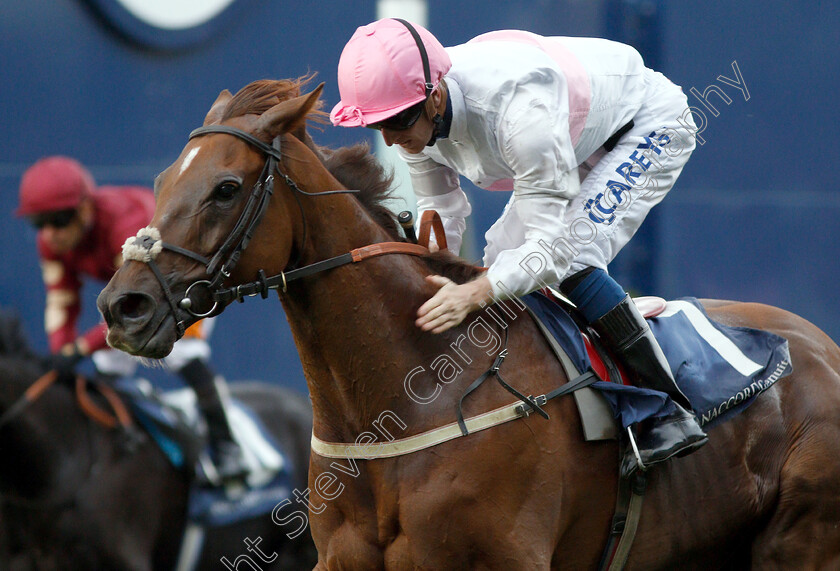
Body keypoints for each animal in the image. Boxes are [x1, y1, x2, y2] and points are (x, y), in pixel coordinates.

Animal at [97, 78, 840, 568]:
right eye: (161, 181)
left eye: (226, 188)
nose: (121, 306)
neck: (407, 395)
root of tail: (822, 345)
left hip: (800, 540)